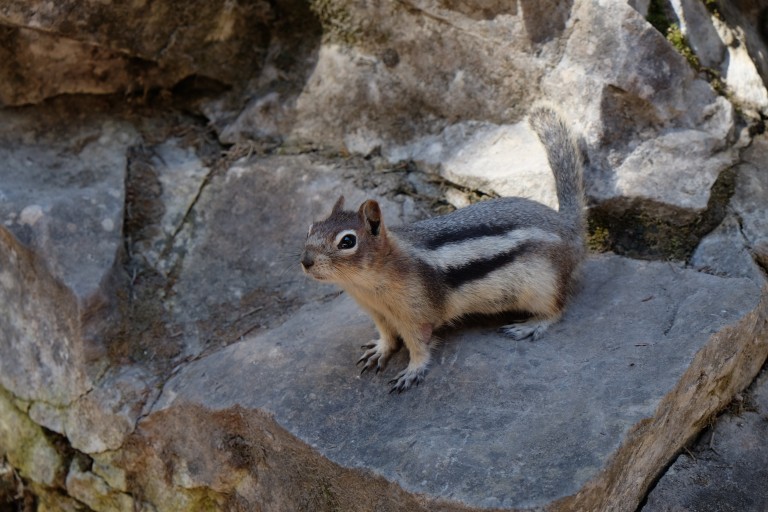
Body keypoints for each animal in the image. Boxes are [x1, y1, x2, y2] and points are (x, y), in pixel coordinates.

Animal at [302, 107, 588, 392]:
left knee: (557, 309)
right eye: (310, 228)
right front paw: (381, 349)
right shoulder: (379, 314)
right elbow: (387, 335)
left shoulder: (416, 315)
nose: (305, 261)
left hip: (543, 286)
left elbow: (419, 345)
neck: (367, 286)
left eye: (347, 242)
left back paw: (531, 325)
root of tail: (567, 226)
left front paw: (412, 371)